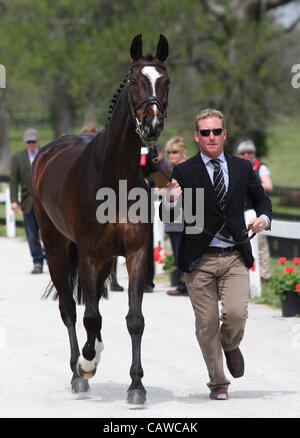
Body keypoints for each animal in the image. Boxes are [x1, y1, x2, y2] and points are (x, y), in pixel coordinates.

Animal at [32, 34, 171, 408]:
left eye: (165, 80)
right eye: (135, 80)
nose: (152, 126)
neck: (115, 176)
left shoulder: (135, 253)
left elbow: (134, 320)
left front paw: (136, 385)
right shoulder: (89, 254)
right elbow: (90, 315)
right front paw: (87, 363)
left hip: (106, 259)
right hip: (57, 247)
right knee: (69, 308)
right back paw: (78, 371)